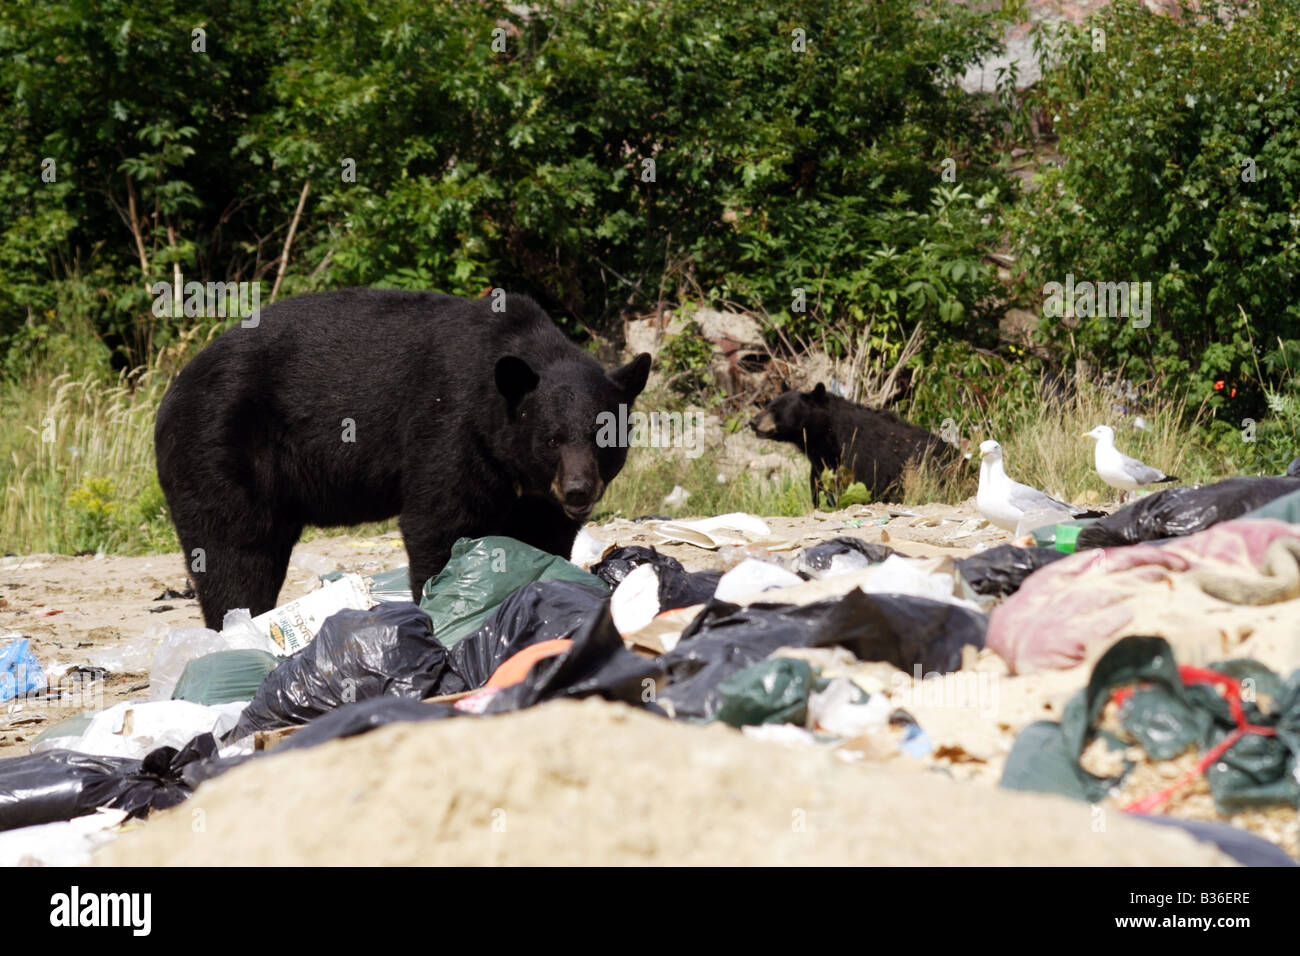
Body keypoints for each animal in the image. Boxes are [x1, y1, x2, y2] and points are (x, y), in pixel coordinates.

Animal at [157, 287, 655, 632]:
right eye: (552, 439)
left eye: (602, 436)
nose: (578, 490)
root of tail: (171, 393)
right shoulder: (452, 425)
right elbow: (438, 520)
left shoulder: (534, 492)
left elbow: (544, 534)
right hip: (218, 447)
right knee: (235, 552)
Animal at [754, 382, 956, 509]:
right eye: (768, 404)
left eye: (775, 409)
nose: (752, 422)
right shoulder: (821, 463)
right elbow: (818, 489)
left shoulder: (864, 460)